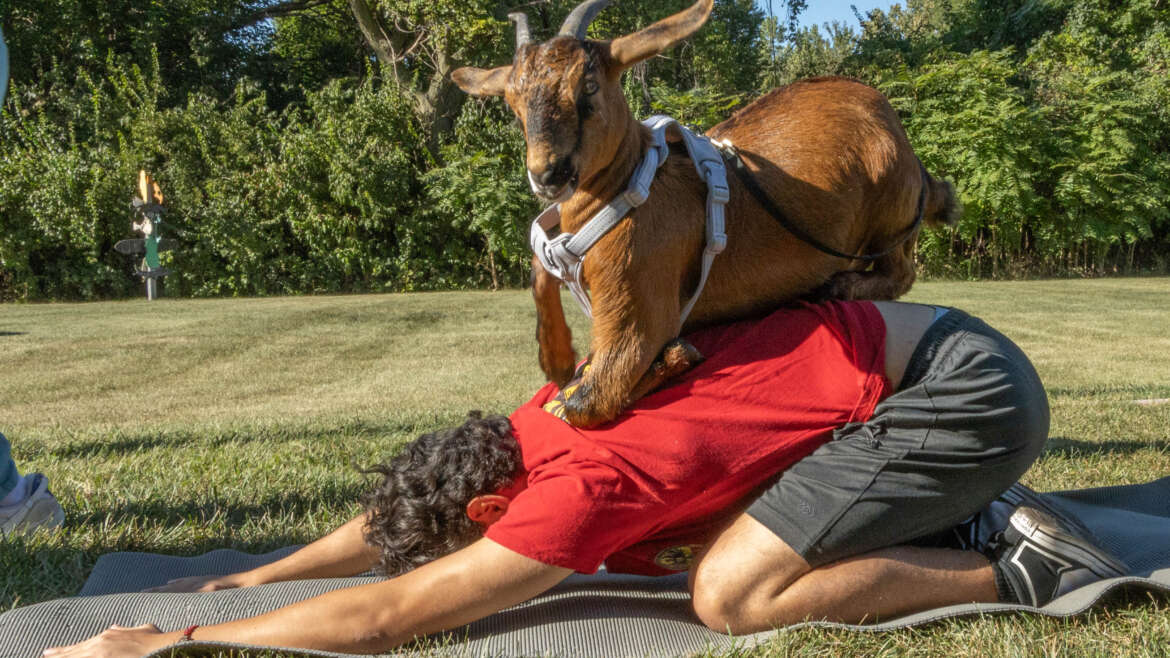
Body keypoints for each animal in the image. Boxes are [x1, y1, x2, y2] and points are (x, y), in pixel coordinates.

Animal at [453, 0, 959, 427]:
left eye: (588, 88)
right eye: (514, 104)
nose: (548, 173)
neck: (629, 182)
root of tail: (911, 154)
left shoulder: (639, 307)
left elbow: (585, 404)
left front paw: (674, 357)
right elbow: (540, 265)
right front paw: (556, 357)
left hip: (891, 210)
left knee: (901, 271)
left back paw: (840, 284)